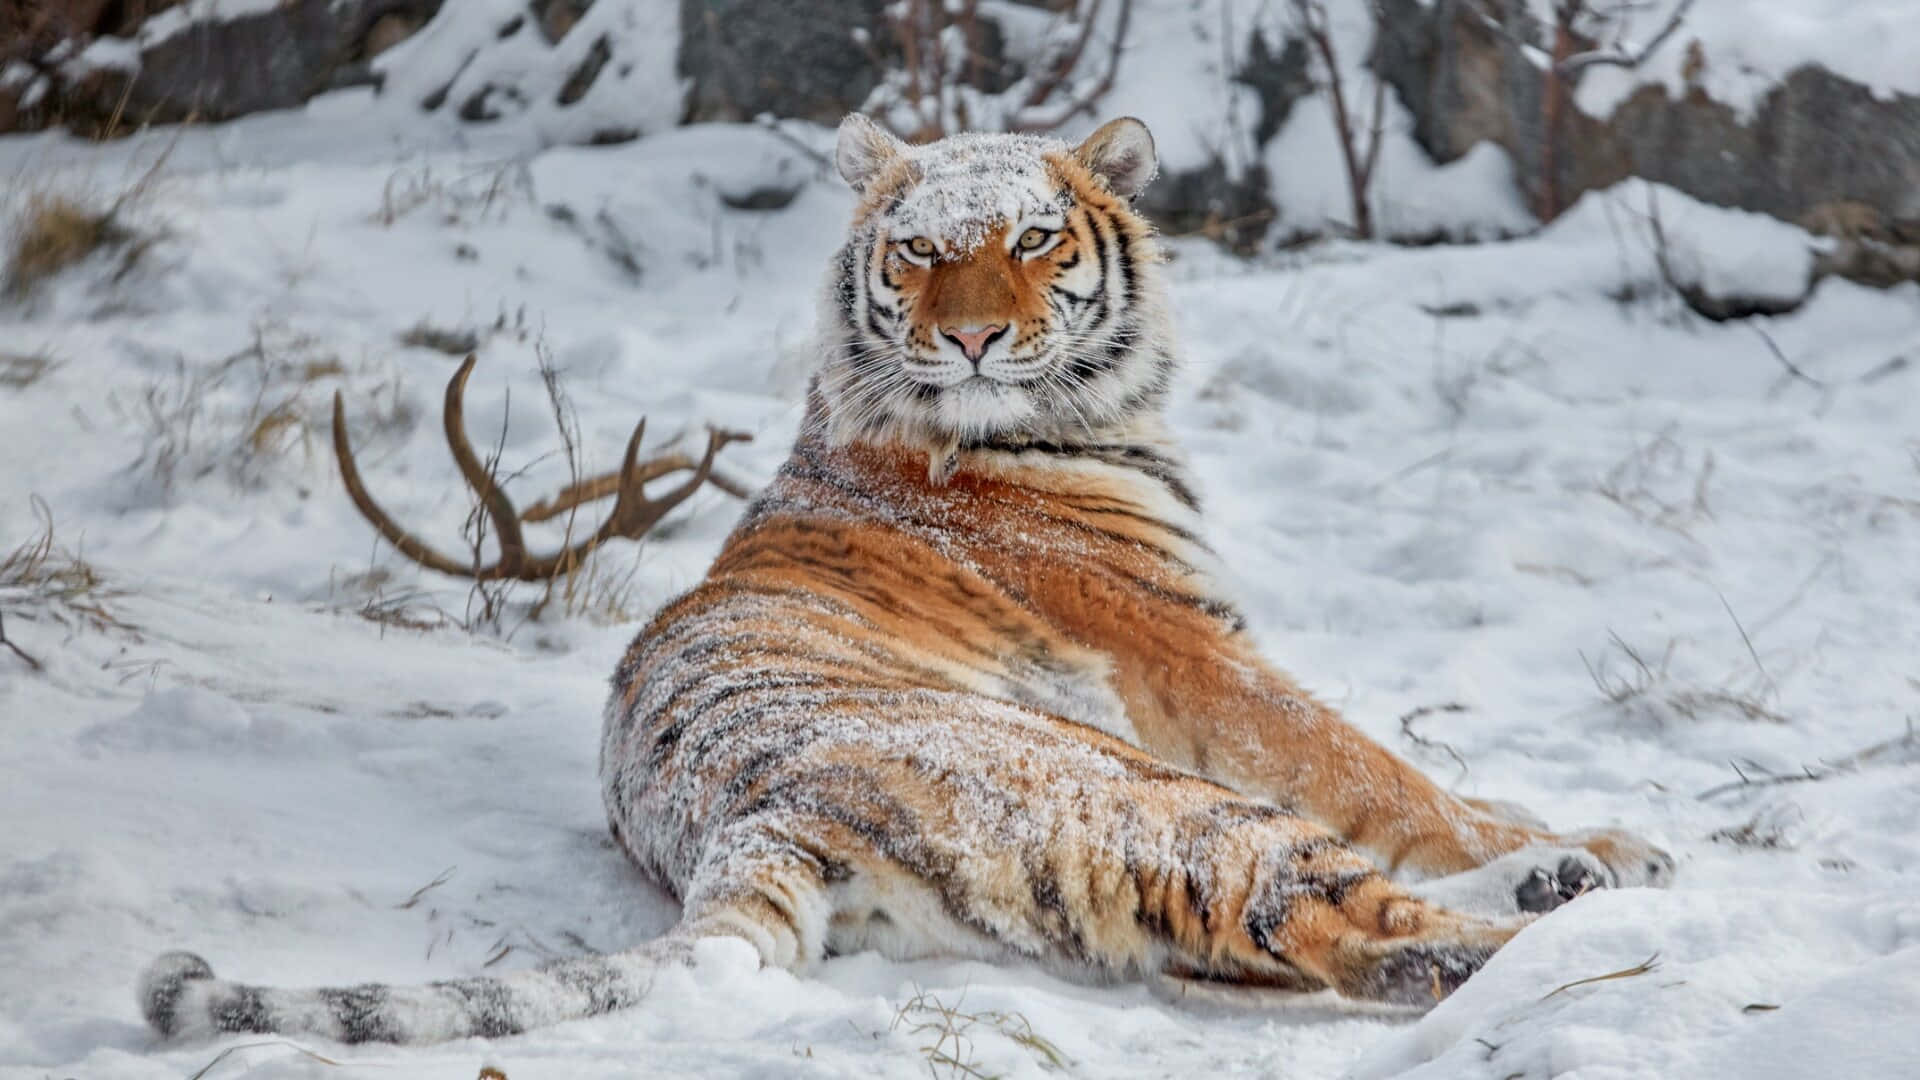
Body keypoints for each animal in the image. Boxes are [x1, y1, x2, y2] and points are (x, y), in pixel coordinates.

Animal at [138, 114, 1673, 1046]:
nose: (978, 339)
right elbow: (1381, 770)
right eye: (922, 249)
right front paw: (1588, 833)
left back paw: (1566, 888)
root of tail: (750, 817)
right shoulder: (1198, 657)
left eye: (1035, 238)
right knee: (1349, 921)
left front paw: (1567, 833)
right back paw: (1588, 922)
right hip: (1144, 790)